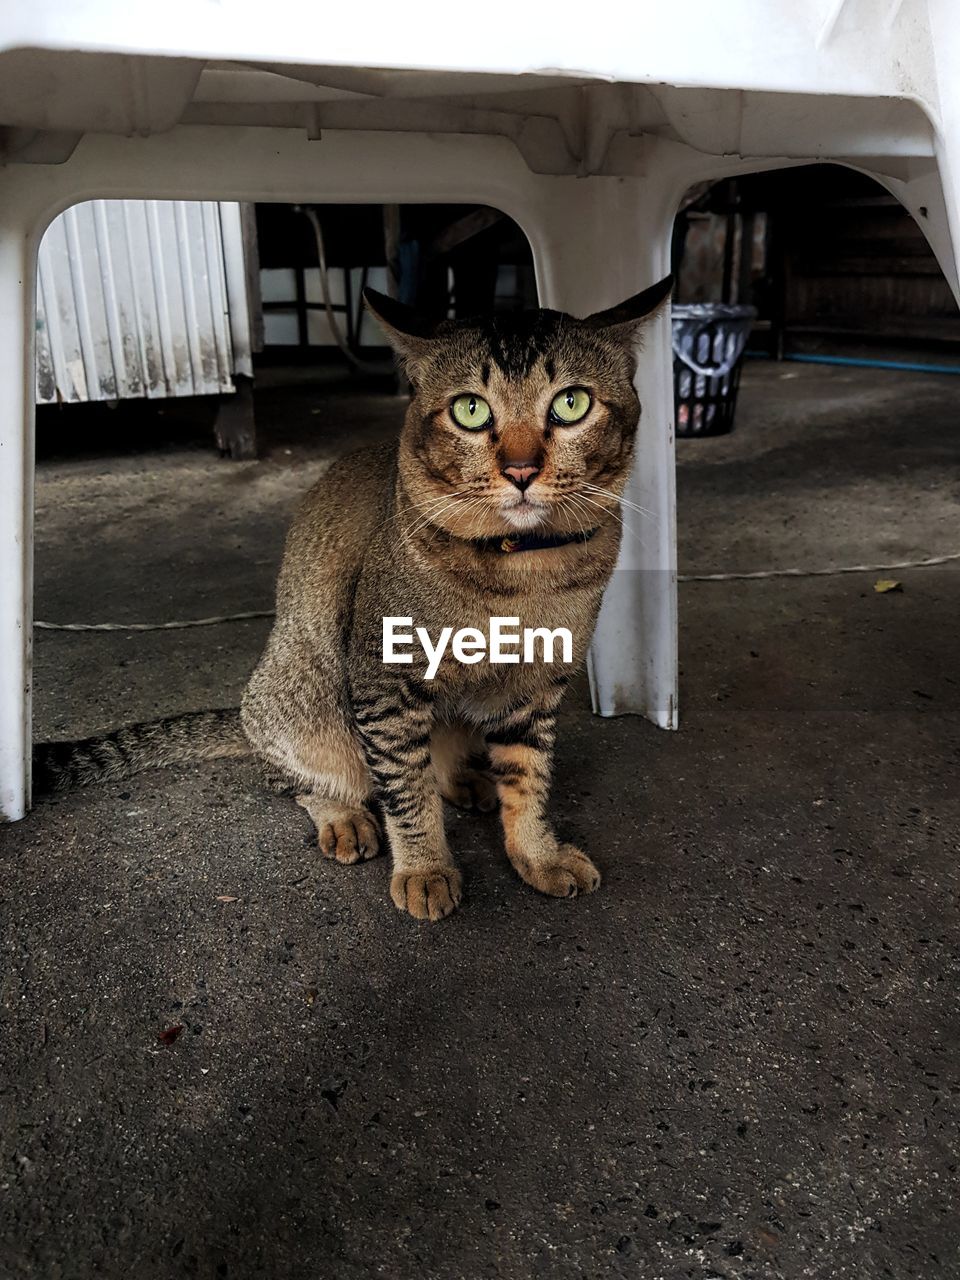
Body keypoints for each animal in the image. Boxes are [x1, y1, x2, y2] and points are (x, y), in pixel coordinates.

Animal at [33, 277, 670, 921]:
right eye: (470, 409)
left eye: (571, 404)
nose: (520, 469)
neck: (522, 571)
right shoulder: (382, 683)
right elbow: (405, 792)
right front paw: (425, 868)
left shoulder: (535, 688)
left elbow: (529, 780)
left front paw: (536, 854)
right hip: (300, 700)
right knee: (294, 776)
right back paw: (343, 815)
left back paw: (468, 779)